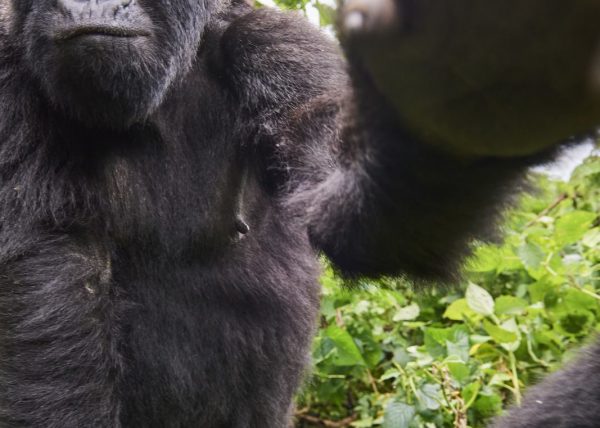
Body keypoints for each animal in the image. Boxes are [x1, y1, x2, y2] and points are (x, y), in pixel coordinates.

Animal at [1, 0, 600, 426]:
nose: (91, 2)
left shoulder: (277, 45)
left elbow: (354, 206)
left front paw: (471, 91)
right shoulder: (7, 79)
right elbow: (44, 294)